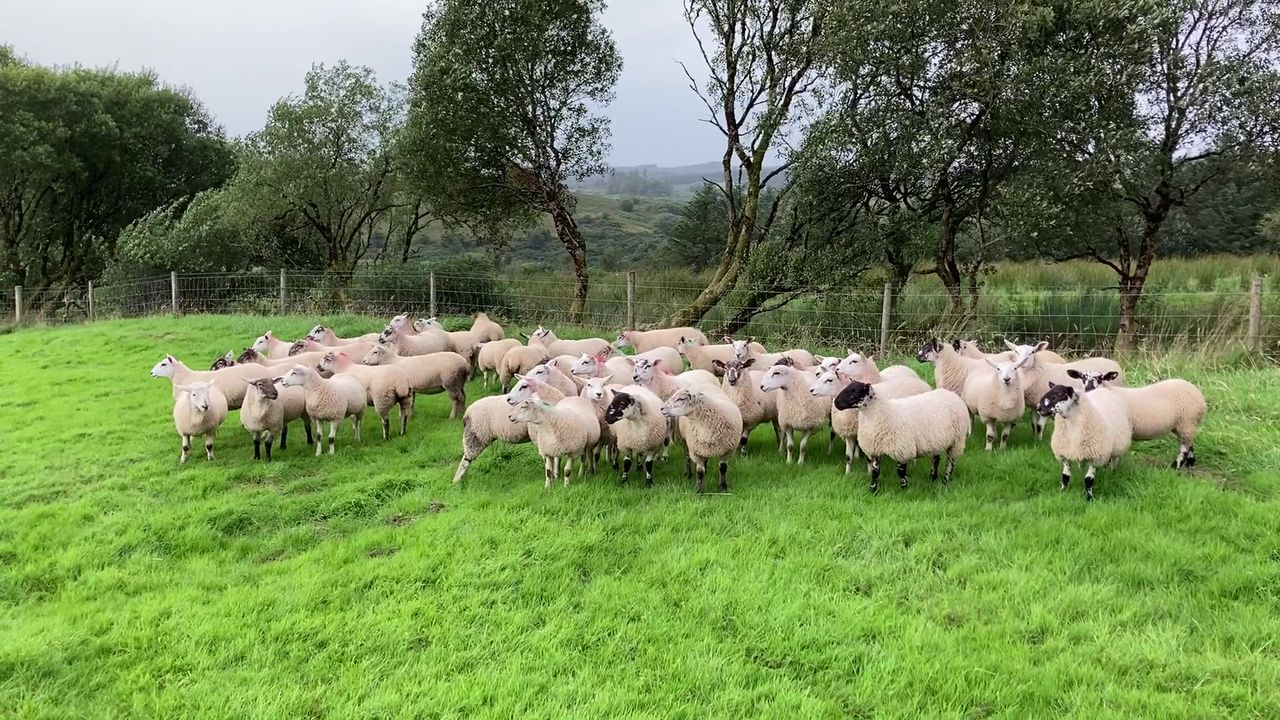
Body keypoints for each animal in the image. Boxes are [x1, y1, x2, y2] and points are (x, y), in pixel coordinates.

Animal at [833, 382, 970, 493]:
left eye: (855, 391)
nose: (836, 403)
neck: (882, 413)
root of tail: (951, 394)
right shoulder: (876, 449)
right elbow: (875, 472)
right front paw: (873, 490)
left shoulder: (902, 449)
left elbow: (901, 472)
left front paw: (905, 489)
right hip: (936, 440)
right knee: (936, 460)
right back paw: (933, 478)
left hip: (957, 441)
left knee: (950, 463)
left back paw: (945, 481)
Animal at [1071, 369, 1206, 470]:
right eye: (1082, 378)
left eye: (1100, 378)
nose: (1089, 389)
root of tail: (1199, 395)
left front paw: (1108, 468)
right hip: (1183, 424)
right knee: (1189, 443)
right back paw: (1190, 463)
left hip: (1187, 421)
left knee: (1184, 447)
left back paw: (1176, 466)